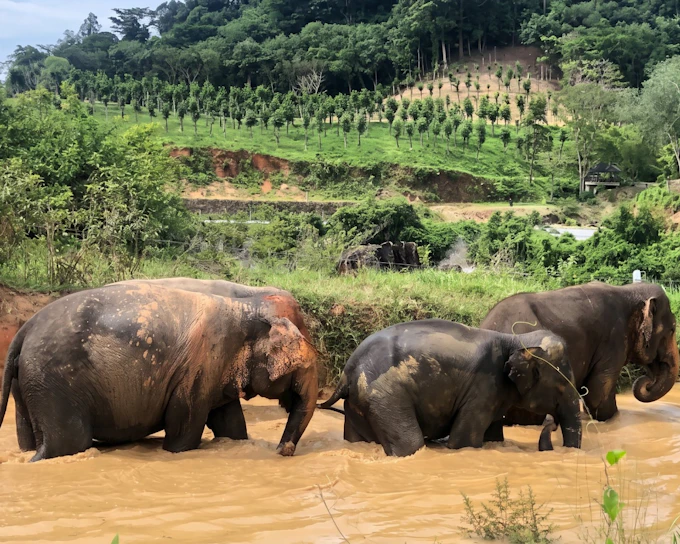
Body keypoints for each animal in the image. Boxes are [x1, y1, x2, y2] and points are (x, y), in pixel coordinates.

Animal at [0, 282, 318, 461]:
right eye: (299, 367)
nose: (281, 450)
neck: (247, 307)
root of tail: (24, 330)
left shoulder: (217, 371)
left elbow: (230, 425)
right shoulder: (200, 366)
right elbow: (184, 426)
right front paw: (175, 452)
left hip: (31, 382)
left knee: (29, 436)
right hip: (55, 380)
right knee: (67, 443)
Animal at [318, 319, 582, 457]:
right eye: (560, 386)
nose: (552, 423)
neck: (517, 339)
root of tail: (346, 373)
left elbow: (493, 436)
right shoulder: (483, 387)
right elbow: (464, 441)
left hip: (359, 403)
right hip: (384, 396)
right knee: (410, 444)